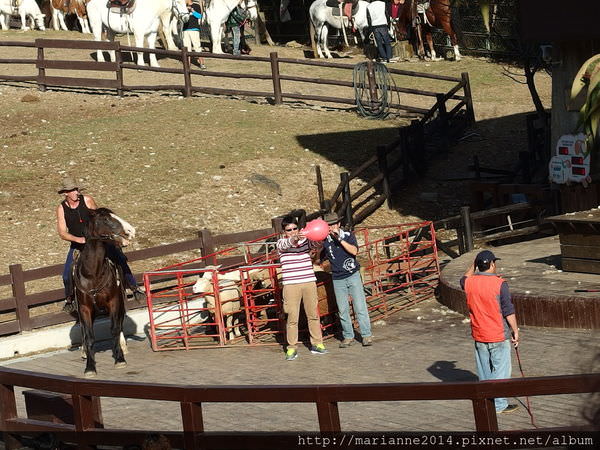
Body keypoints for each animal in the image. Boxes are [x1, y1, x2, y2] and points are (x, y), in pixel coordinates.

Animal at [72, 207, 135, 376]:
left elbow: (114, 329)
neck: (92, 273)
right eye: (105, 219)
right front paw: (90, 367)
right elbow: (88, 336)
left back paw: (123, 347)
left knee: (119, 324)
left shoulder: (114, 302)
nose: (130, 231)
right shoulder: (85, 308)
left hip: (120, 302)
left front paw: (119, 359)